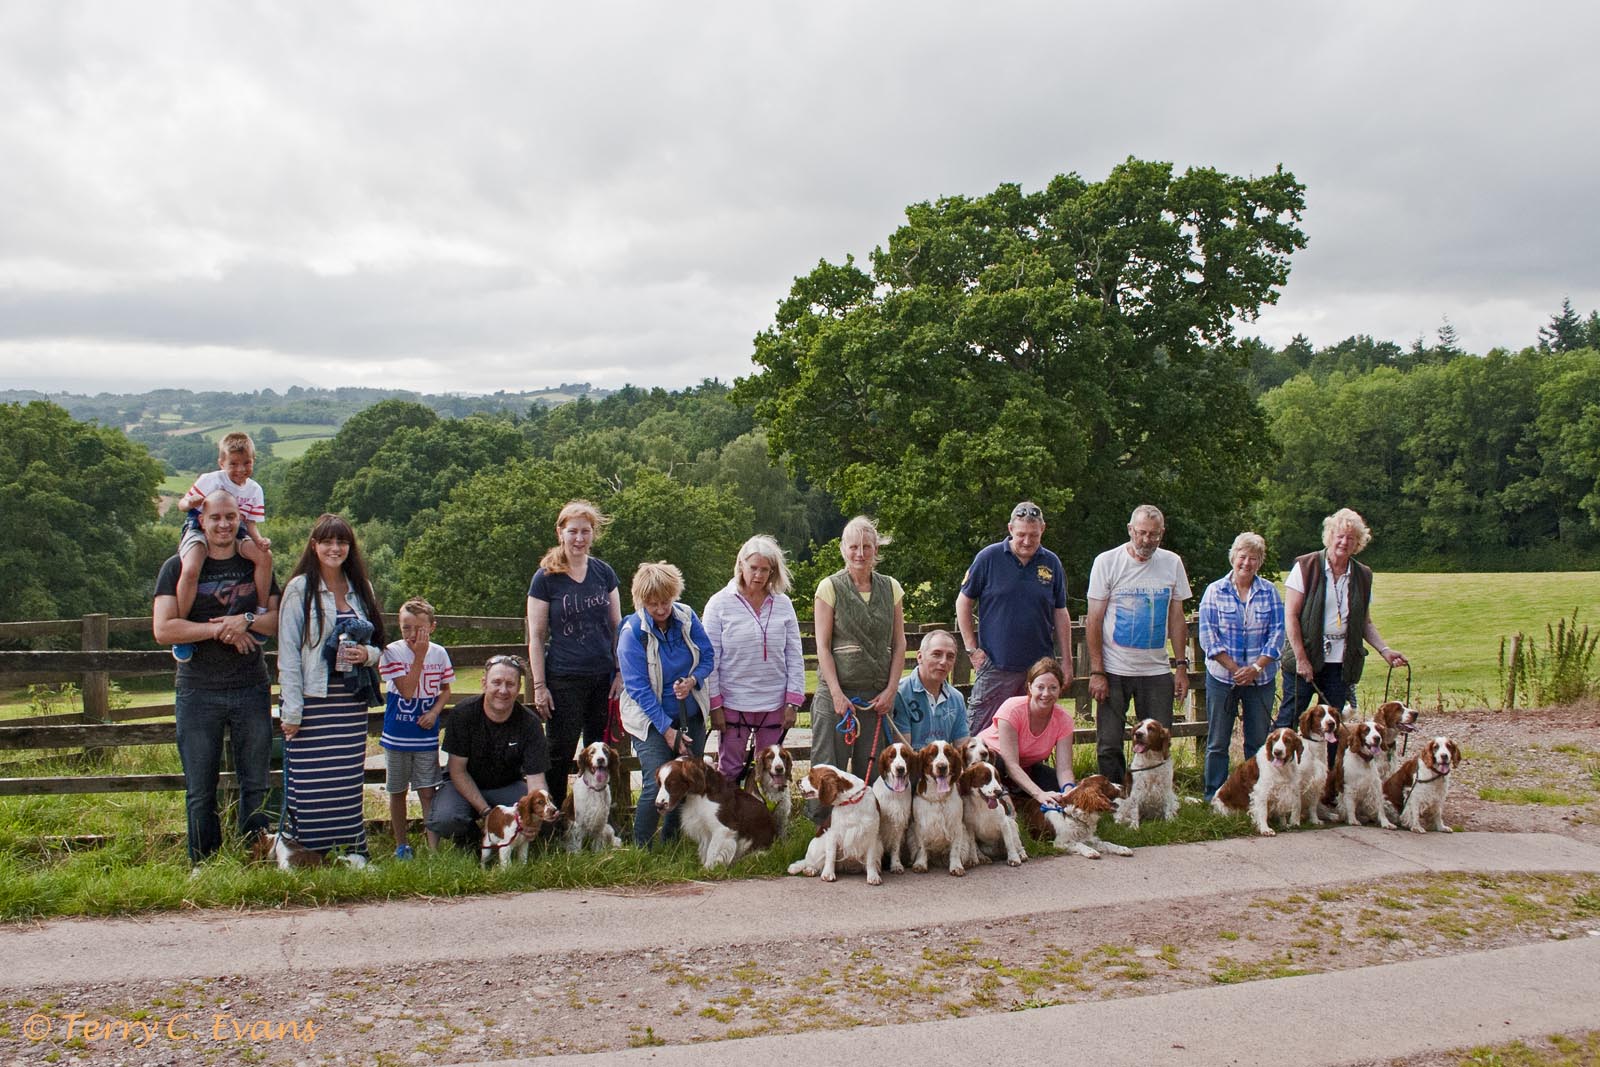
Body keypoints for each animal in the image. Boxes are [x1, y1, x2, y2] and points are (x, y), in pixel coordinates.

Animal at [871, 741, 919, 873]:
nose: (900, 769)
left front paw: (896, 865)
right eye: (891, 756)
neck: (894, 792)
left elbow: (895, 848)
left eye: (905, 755)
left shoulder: (899, 822)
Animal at [911, 740, 971, 875]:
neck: (938, 796)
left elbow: (955, 849)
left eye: (949, 754)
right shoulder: (919, 825)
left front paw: (956, 867)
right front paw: (920, 864)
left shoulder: (956, 826)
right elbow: (921, 847)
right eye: (932, 754)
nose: (942, 767)